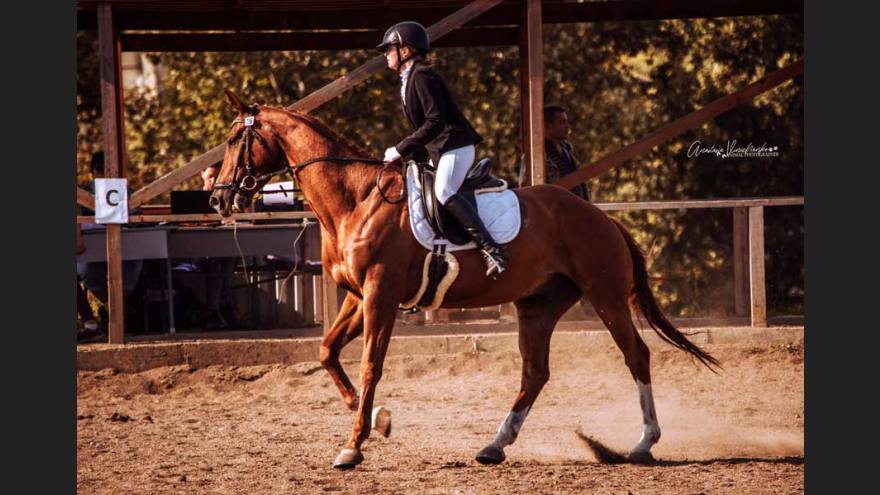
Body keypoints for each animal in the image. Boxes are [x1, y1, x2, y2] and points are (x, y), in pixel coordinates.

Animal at [210, 91, 720, 470]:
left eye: (236, 138)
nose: (217, 197)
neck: (356, 200)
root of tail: (601, 217)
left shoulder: (380, 295)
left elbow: (370, 365)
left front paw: (353, 446)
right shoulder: (357, 297)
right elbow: (328, 352)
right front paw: (377, 418)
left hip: (606, 297)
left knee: (637, 356)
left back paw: (643, 442)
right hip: (538, 306)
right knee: (535, 372)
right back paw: (494, 445)